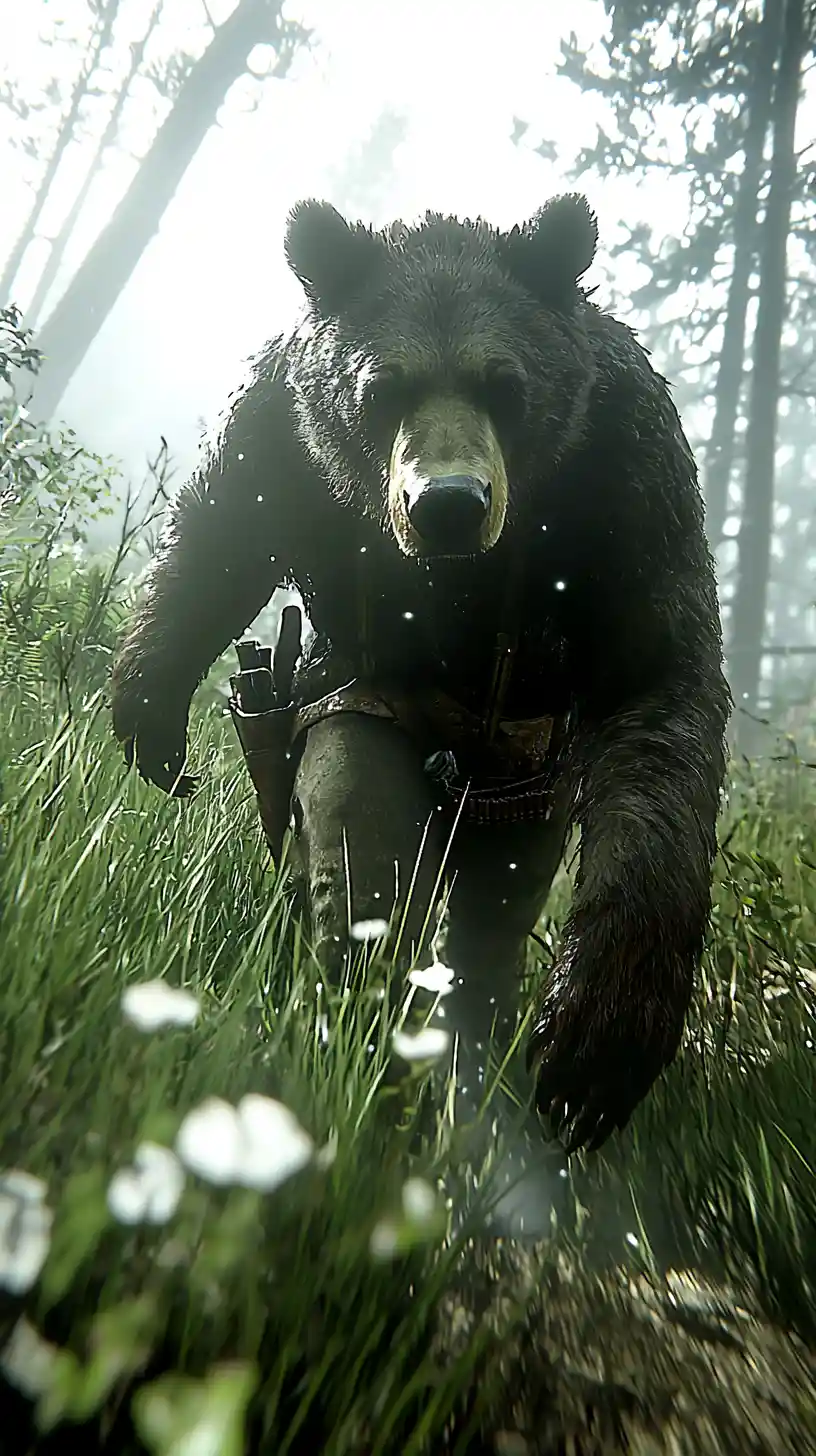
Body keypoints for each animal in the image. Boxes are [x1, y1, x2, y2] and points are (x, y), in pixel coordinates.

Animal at [110, 193, 731, 1155]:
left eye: (506, 385)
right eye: (383, 388)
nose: (446, 504)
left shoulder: (633, 472)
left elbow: (658, 681)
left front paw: (593, 1046)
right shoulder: (282, 419)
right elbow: (226, 528)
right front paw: (152, 715)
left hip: (526, 793)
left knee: (490, 932)